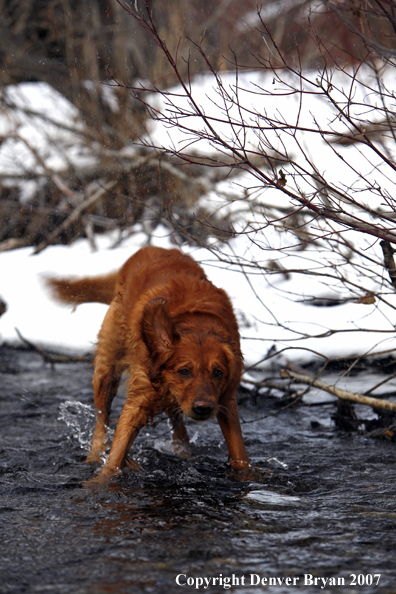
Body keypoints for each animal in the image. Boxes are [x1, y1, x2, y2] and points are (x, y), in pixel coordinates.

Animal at [47, 245, 251, 480]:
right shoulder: (138, 400)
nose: (203, 408)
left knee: (177, 423)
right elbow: (115, 455)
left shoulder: (225, 400)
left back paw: (183, 454)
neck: (196, 323)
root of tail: (151, 248)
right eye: (184, 371)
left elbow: (239, 453)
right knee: (102, 419)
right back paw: (95, 455)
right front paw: (102, 478)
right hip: (107, 372)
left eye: (218, 373)